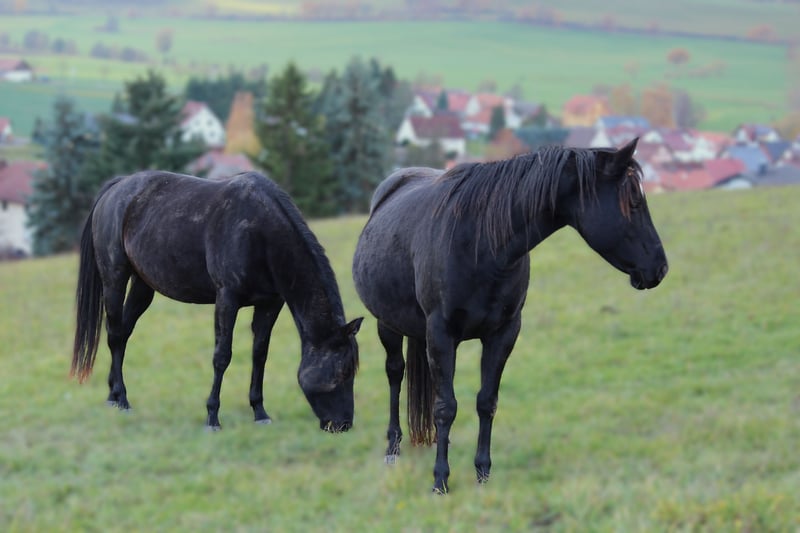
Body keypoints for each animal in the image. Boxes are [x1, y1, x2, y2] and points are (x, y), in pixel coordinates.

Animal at [72, 170, 363, 432]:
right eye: (342, 372)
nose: (343, 425)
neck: (259, 233)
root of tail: (117, 187)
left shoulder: (270, 303)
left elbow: (260, 353)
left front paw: (259, 412)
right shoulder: (227, 299)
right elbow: (222, 356)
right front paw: (212, 417)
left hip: (143, 286)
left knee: (123, 333)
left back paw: (113, 395)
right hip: (114, 278)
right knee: (113, 334)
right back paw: (121, 399)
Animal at [352, 138, 668, 493]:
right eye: (634, 202)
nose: (660, 268)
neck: (480, 243)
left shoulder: (503, 333)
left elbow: (486, 401)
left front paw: (482, 474)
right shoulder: (442, 335)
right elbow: (446, 407)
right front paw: (440, 480)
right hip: (388, 325)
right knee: (395, 373)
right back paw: (392, 449)